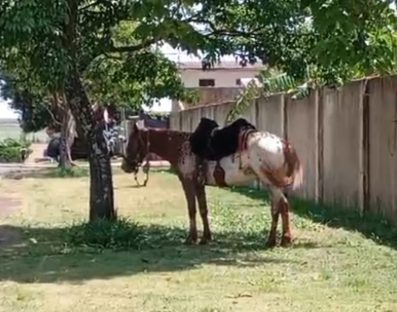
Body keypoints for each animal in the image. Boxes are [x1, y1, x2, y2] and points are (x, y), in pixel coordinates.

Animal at [120, 118, 304, 247]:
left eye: (132, 142)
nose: (124, 166)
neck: (182, 147)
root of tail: (282, 144)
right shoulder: (199, 184)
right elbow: (203, 209)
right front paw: (206, 238)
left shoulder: (188, 182)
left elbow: (192, 209)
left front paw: (191, 238)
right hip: (270, 184)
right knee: (279, 207)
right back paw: (278, 240)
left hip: (272, 183)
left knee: (280, 206)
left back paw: (279, 240)